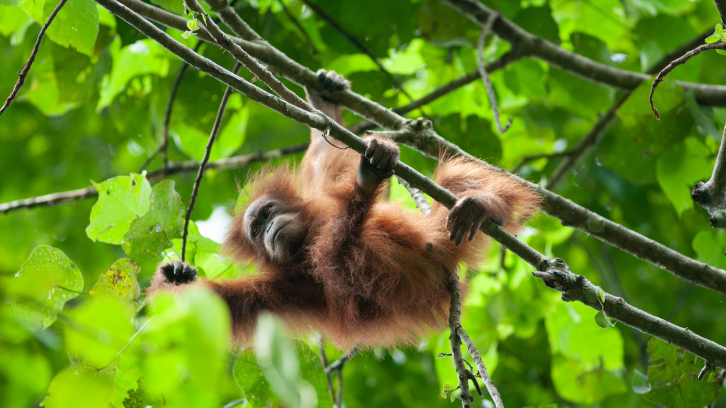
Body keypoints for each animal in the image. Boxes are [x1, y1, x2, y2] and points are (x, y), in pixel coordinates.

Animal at [148, 70, 541, 348]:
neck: (306, 238)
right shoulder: (282, 287)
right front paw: (173, 277)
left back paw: (483, 206)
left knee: (452, 180)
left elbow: (330, 156)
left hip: (443, 228)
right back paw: (366, 185)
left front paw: (323, 101)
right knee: (340, 258)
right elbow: (226, 305)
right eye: (256, 231)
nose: (269, 228)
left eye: (267, 213)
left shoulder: (322, 195)